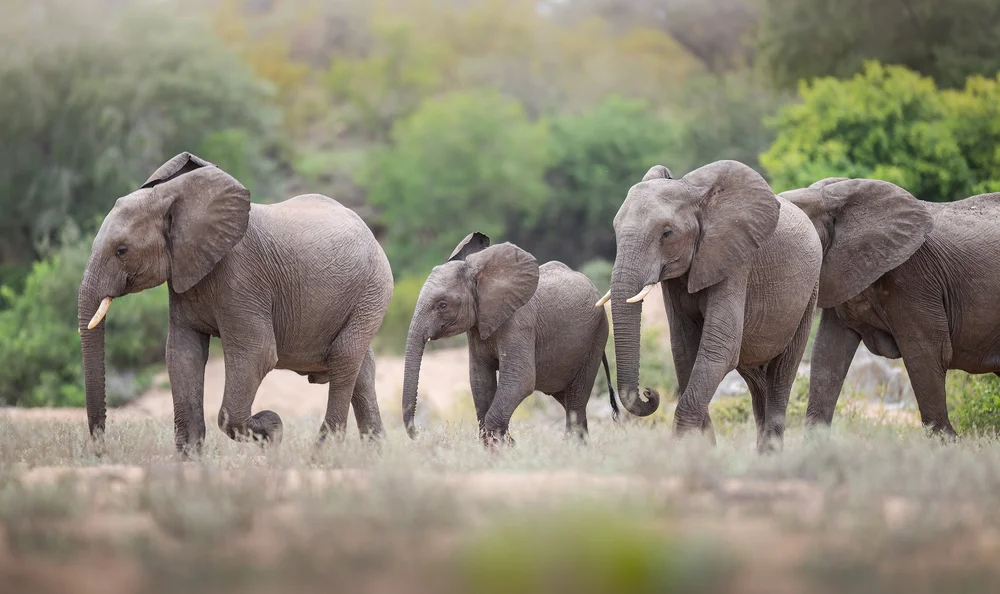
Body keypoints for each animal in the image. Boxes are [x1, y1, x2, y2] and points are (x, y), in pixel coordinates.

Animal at [78, 152, 393, 453]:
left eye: (121, 250)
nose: (100, 448)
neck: (175, 197)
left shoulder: (243, 278)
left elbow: (257, 353)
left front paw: (273, 429)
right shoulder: (184, 273)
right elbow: (182, 353)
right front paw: (189, 462)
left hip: (374, 288)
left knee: (344, 357)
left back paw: (322, 456)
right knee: (362, 368)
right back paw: (373, 458)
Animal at [401, 232, 618, 444]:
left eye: (442, 305)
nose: (419, 434)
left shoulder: (519, 324)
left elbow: (521, 379)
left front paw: (505, 444)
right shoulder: (476, 328)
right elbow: (480, 379)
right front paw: (501, 445)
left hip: (596, 336)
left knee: (575, 399)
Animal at [604, 160, 822, 452]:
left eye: (667, 233)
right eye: (615, 228)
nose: (650, 392)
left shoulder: (736, 260)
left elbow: (720, 347)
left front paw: (680, 450)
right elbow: (685, 349)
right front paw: (701, 449)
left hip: (809, 293)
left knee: (781, 374)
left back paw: (770, 454)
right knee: (756, 381)